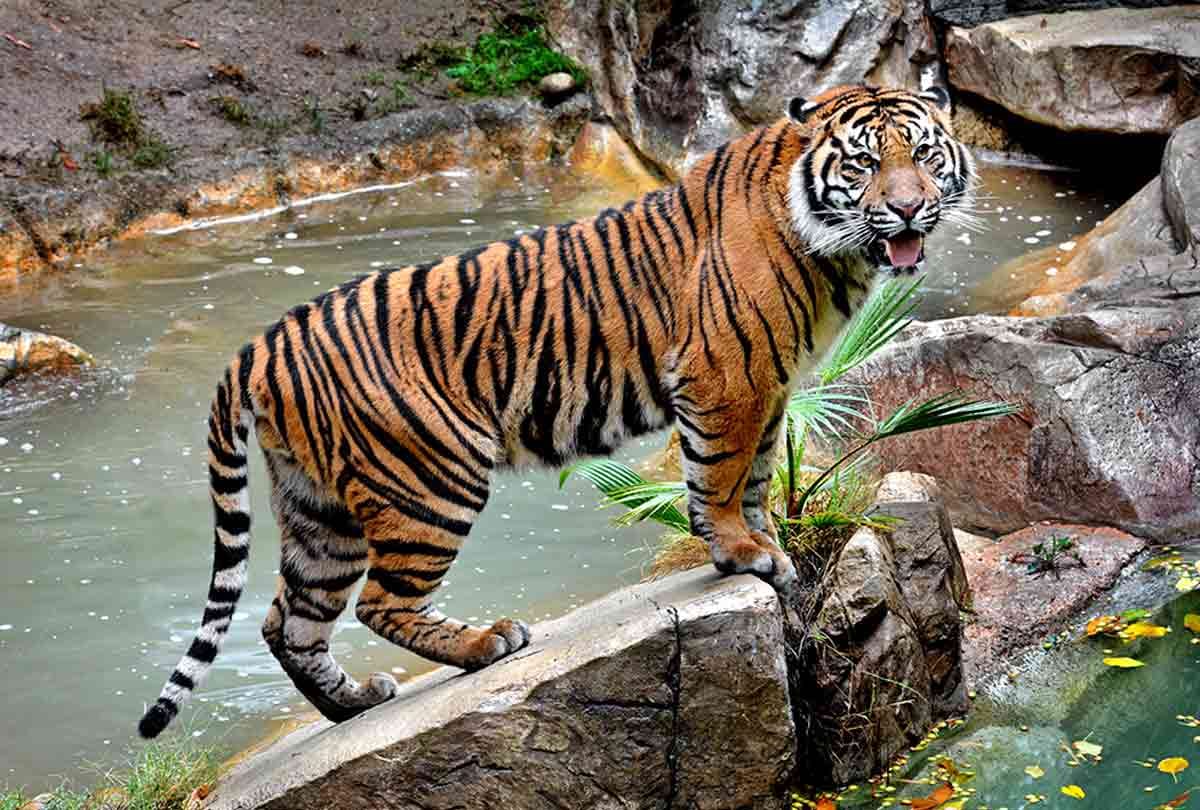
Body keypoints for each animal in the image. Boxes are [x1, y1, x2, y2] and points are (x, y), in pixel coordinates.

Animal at [138, 83, 977, 738]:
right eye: (864, 164)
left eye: (923, 155)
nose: (908, 211)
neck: (830, 243)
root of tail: (257, 347)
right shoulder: (725, 379)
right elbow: (719, 477)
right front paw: (742, 553)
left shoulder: (769, 388)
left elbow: (759, 476)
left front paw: (770, 545)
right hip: (430, 480)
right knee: (379, 603)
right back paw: (486, 644)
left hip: (321, 512)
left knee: (289, 619)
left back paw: (352, 704)